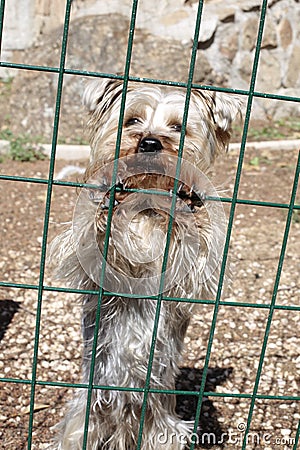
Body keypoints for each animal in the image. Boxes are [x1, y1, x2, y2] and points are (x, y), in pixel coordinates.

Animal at [49, 78, 241, 450]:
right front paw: (109, 202)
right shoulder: (82, 264)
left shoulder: (192, 278)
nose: (150, 142)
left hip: (166, 430)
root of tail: (125, 419)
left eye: (178, 127)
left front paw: (189, 205)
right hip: (83, 420)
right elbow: (89, 243)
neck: (147, 203)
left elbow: (197, 249)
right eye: (132, 121)